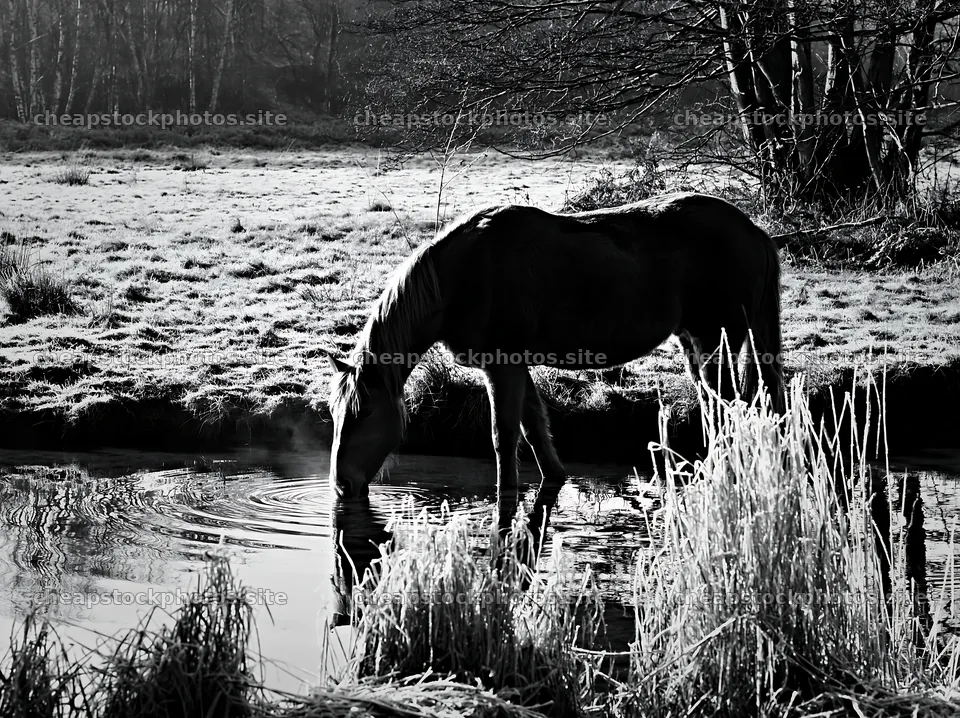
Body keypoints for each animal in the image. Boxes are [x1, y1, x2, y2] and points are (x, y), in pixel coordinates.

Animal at [326, 191, 784, 499]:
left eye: (364, 413)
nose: (342, 482)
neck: (464, 274)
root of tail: (753, 230)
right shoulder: (516, 366)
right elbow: (534, 429)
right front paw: (553, 479)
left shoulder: (501, 365)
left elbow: (503, 436)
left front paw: (506, 494)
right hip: (696, 343)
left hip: (714, 343)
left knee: (728, 410)